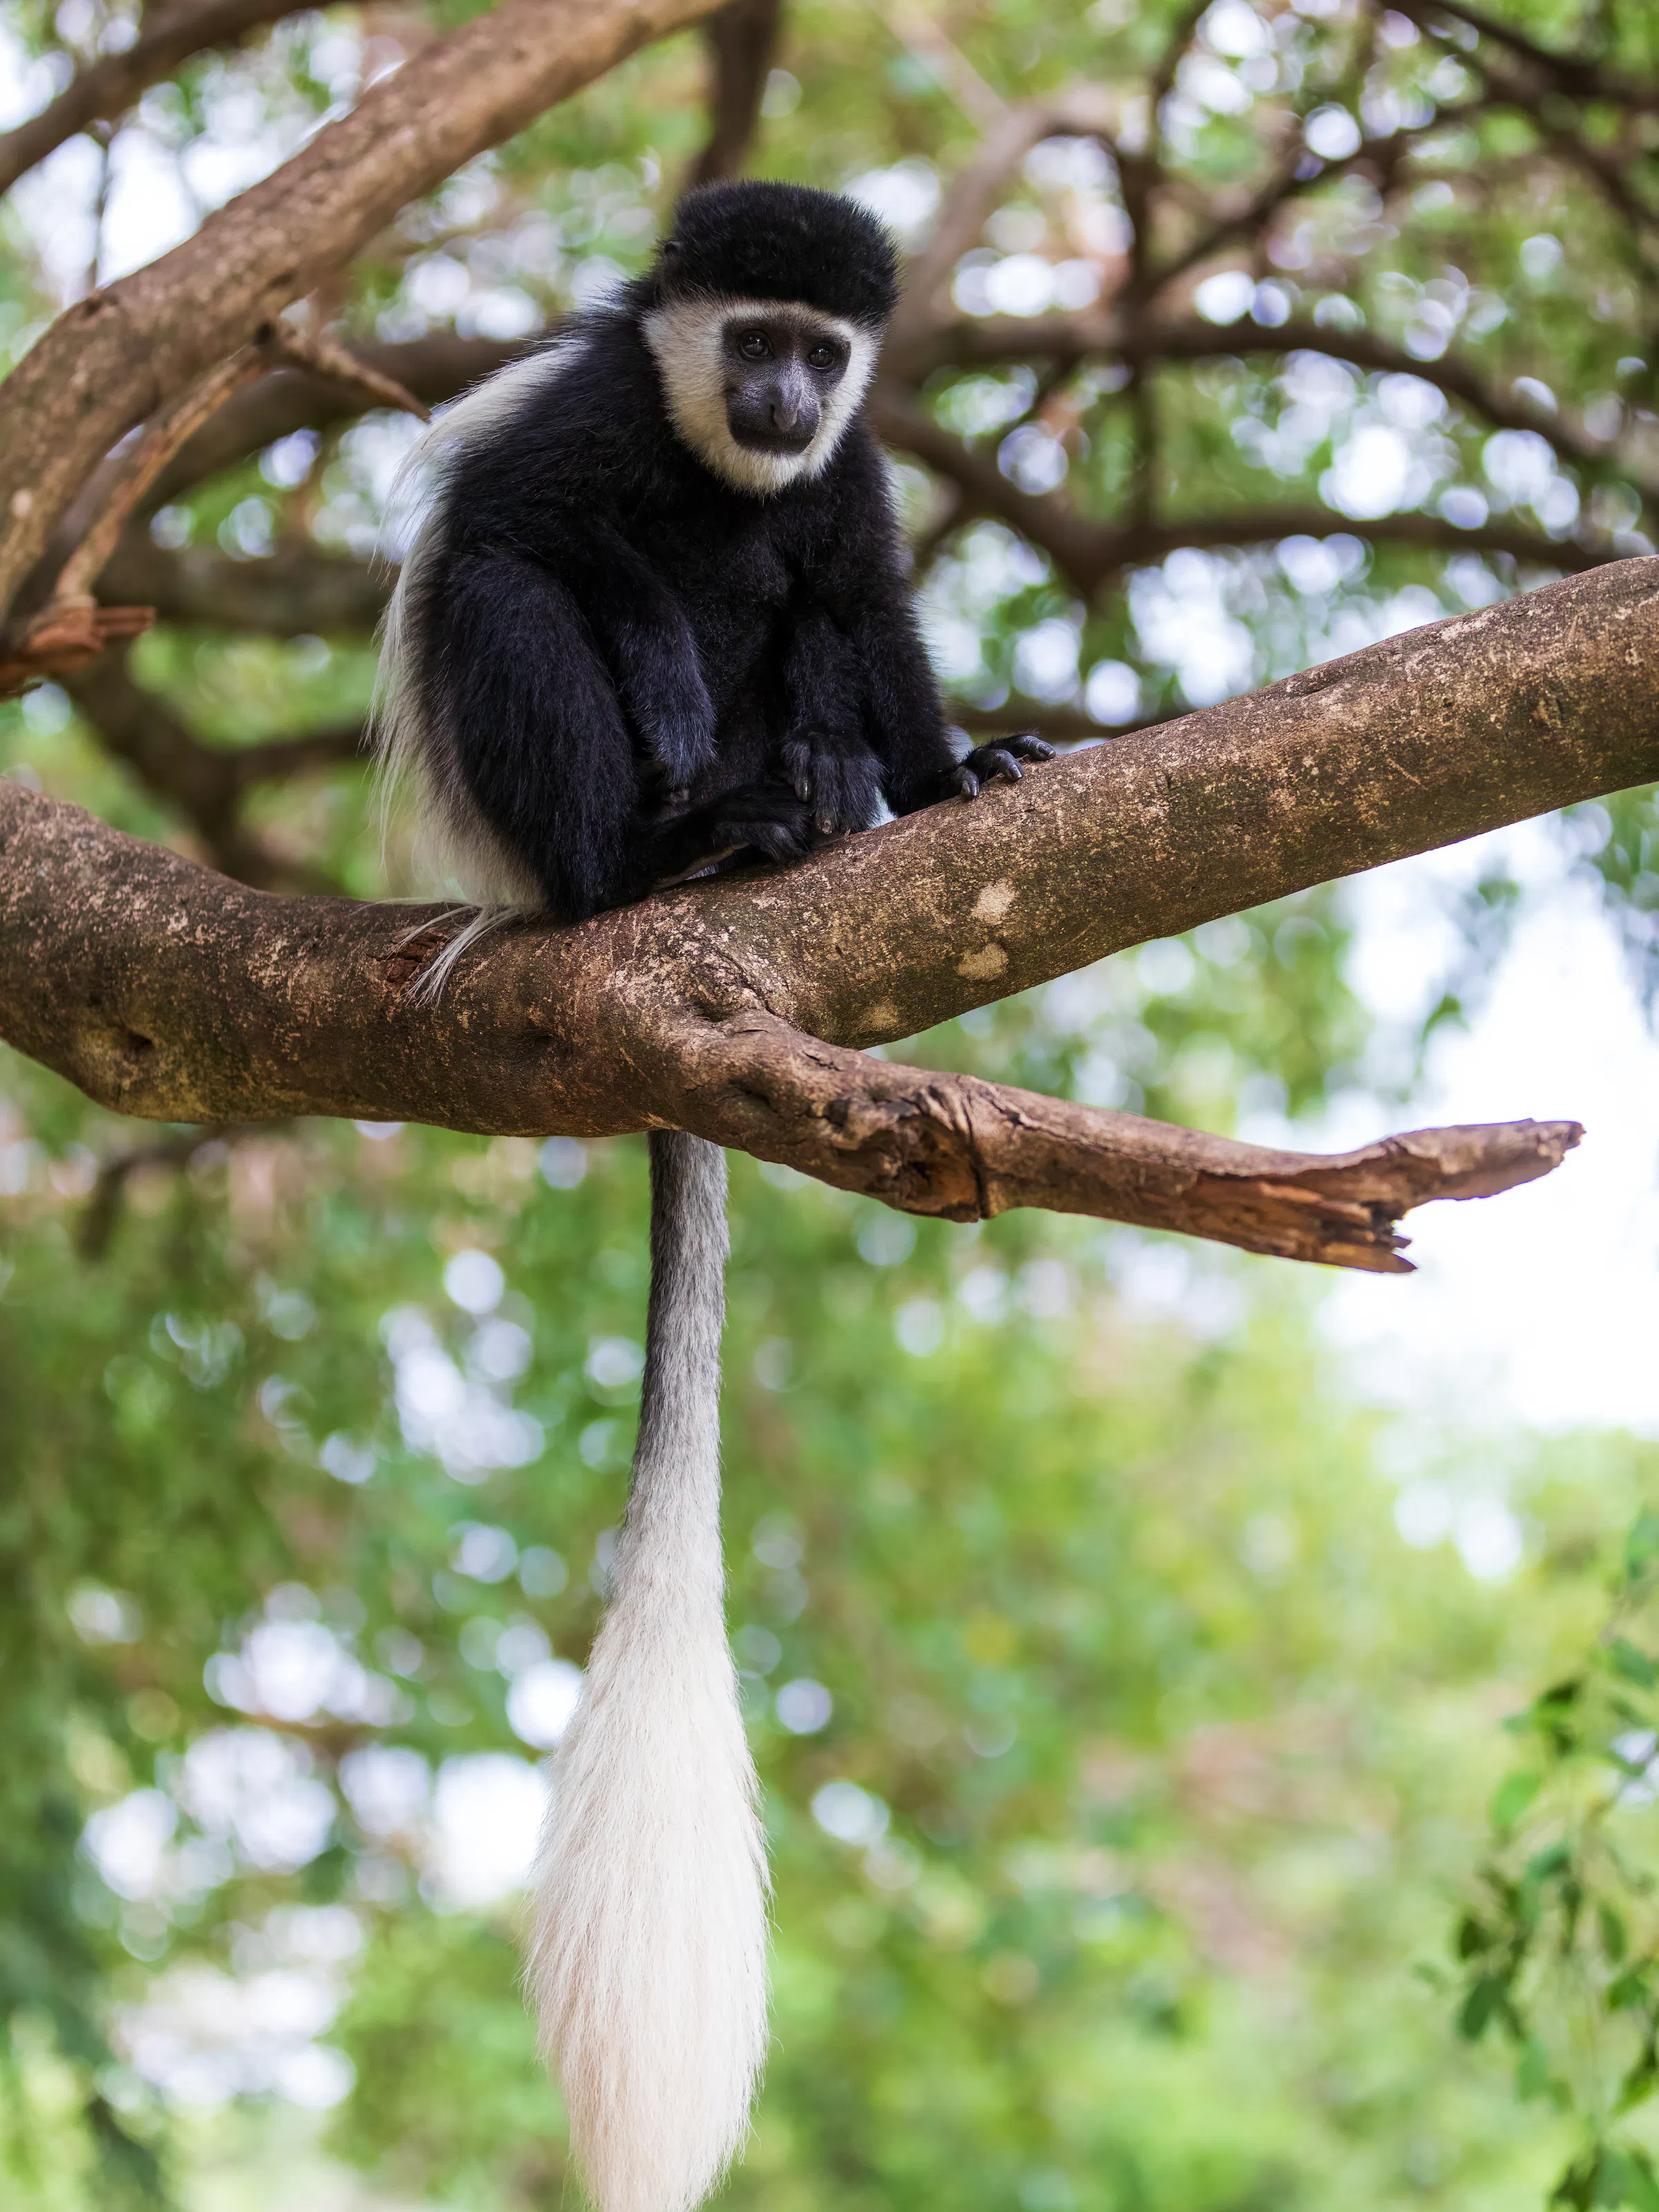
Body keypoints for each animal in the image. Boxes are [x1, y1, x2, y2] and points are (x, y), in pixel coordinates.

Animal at [373, 179, 1051, 2212]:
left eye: (818, 354)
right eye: (745, 335)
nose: (774, 394)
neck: (716, 451)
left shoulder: (854, 475)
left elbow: (865, 598)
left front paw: (953, 765)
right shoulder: (591, 411)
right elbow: (530, 531)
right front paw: (661, 667)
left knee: (810, 628)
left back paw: (818, 797)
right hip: (540, 808)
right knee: (508, 594)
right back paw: (666, 849)